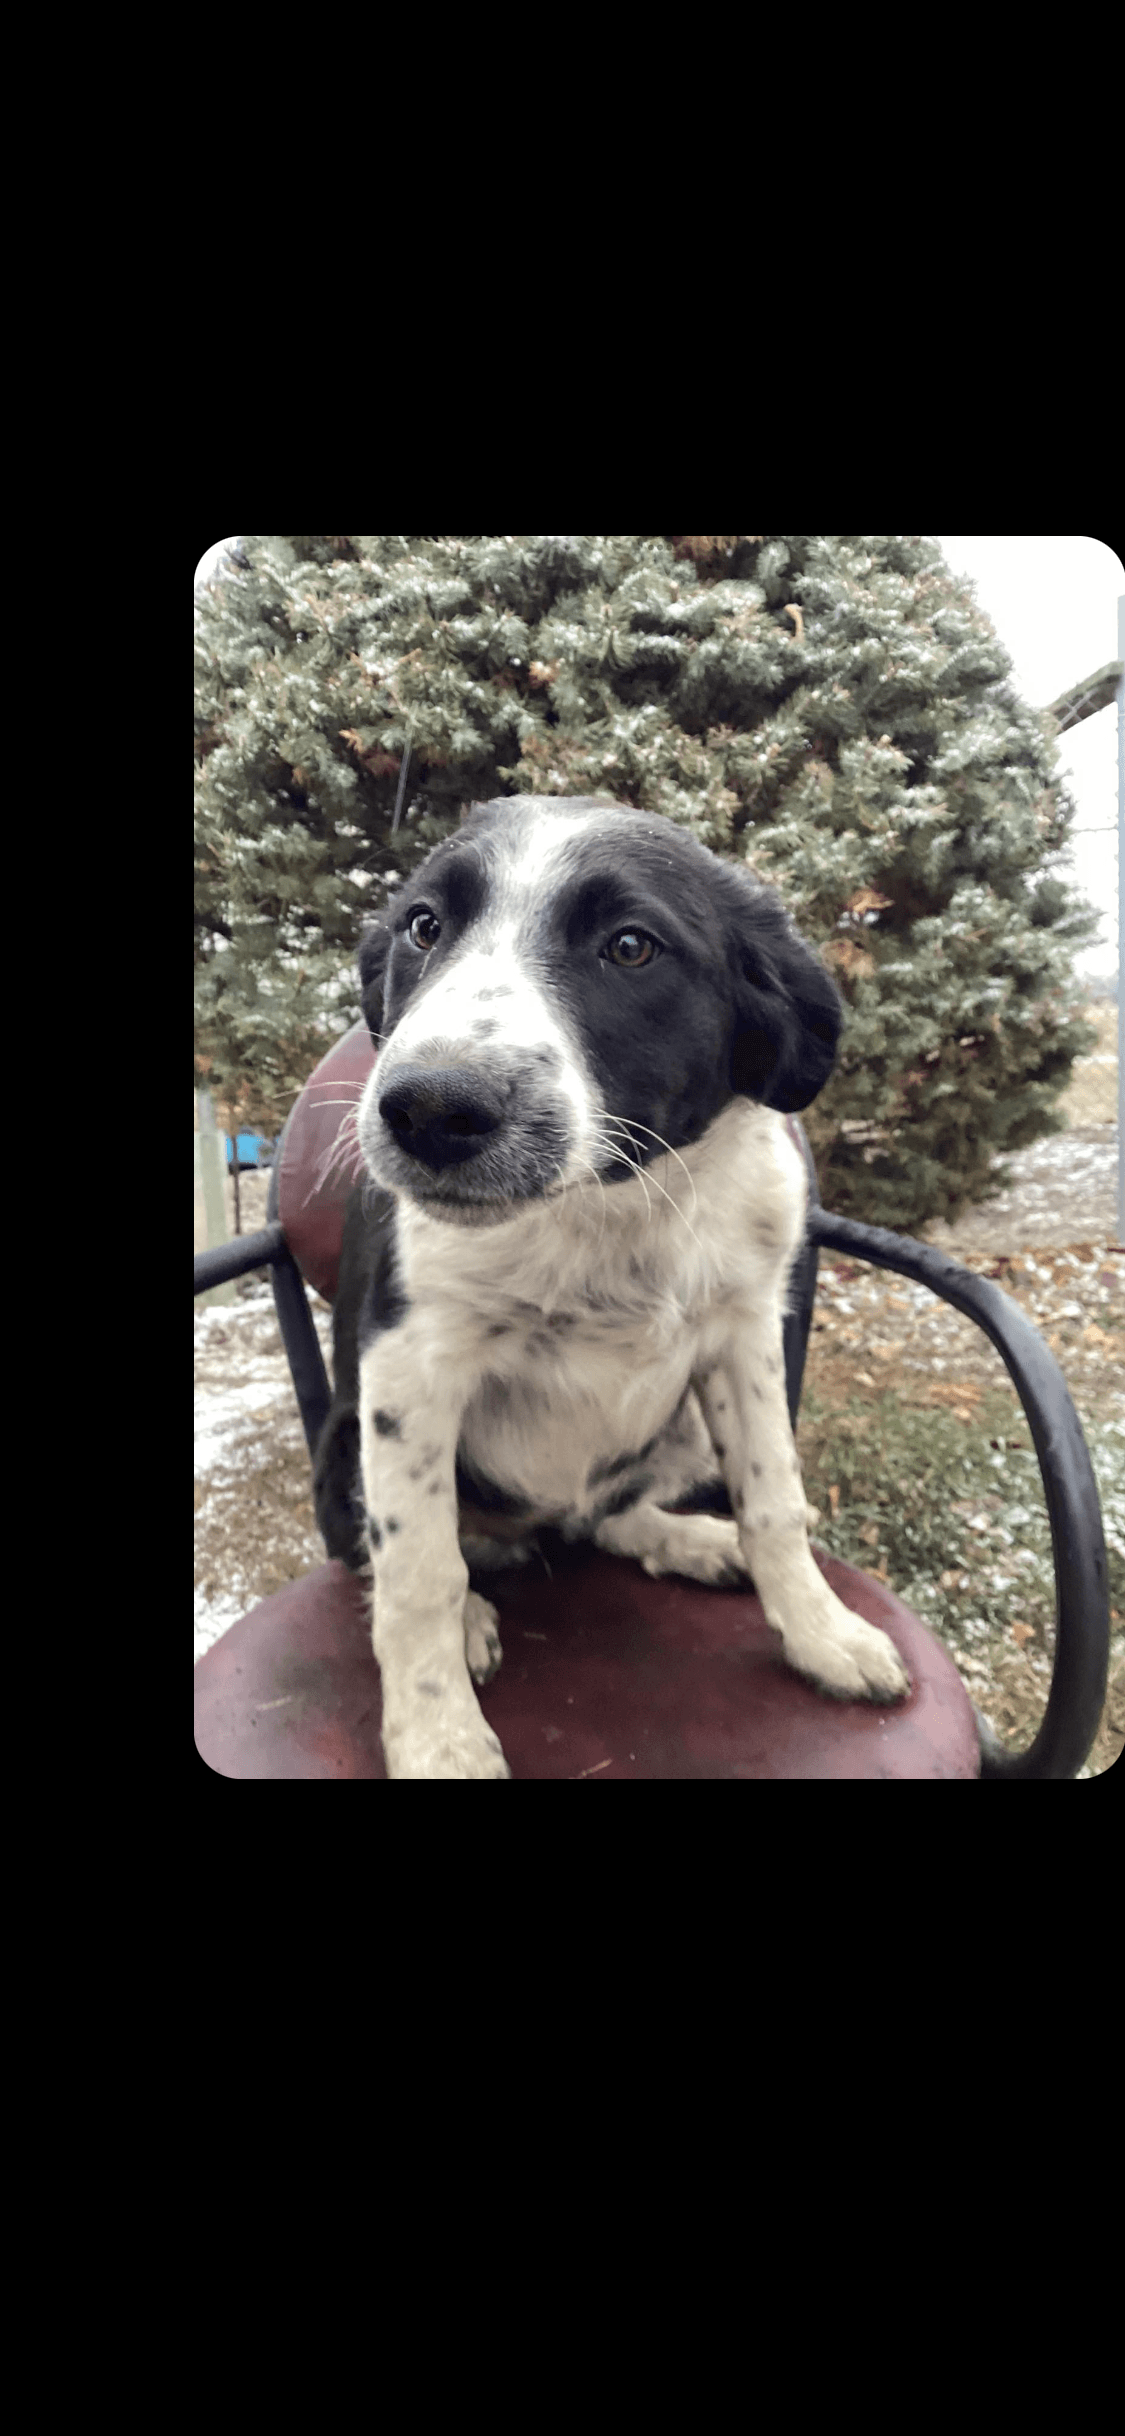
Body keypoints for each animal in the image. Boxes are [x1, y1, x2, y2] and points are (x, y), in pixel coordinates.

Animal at [311, 799, 910, 1773]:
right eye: (424, 926)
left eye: (630, 946)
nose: (429, 1110)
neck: (612, 1205)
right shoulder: (409, 1371)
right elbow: (418, 1573)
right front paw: (438, 1738)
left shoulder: (745, 1334)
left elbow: (773, 1499)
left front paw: (821, 1635)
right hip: (345, 1444)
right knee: (400, 1553)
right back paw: (474, 1615)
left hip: (681, 1432)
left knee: (606, 1517)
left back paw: (692, 1540)